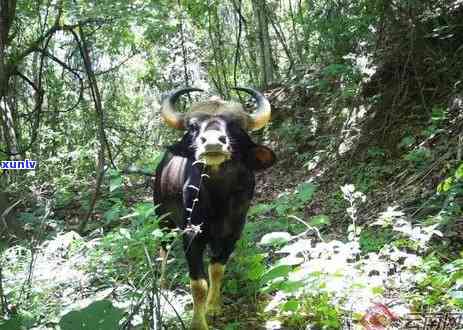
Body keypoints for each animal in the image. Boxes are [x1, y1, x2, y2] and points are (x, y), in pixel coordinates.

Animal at [154, 86, 276, 328]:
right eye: (193, 127)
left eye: (235, 126)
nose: (212, 142)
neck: (218, 199)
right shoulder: (191, 234)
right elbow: (198, 284)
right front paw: (198, 323)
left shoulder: (232, 233)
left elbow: (217, 269)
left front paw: (213, 307)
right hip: (162, 218)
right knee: (163, 249)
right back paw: (162, 285)